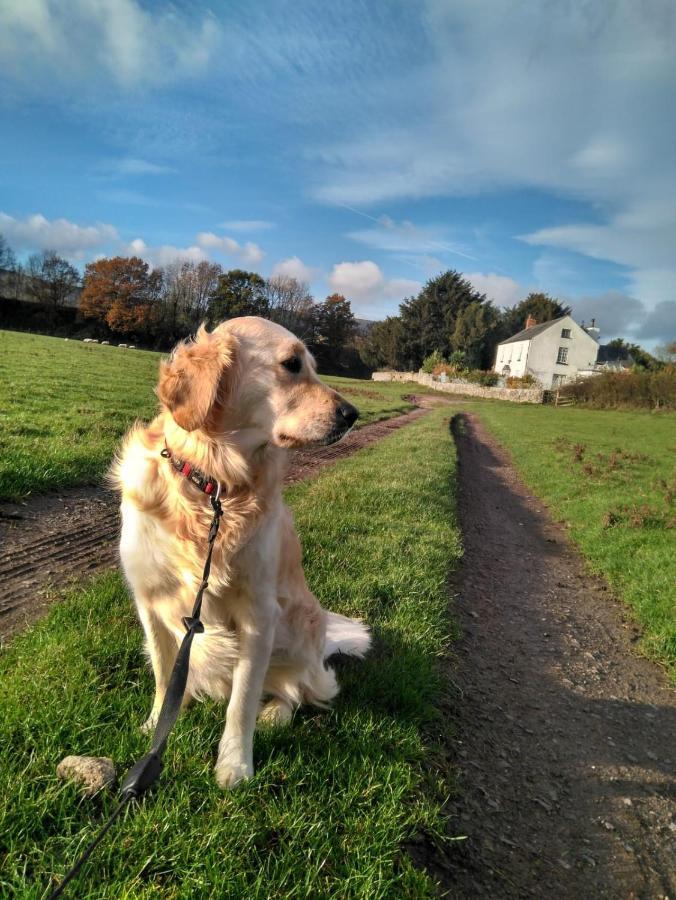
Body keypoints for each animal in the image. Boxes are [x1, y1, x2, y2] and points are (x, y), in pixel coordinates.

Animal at [113, 316, 372, 788]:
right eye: (291, 364)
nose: (352, 415)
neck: (212, 484)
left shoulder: (259, 613)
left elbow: (243, 698)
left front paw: (234, 765)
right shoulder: (149, 600)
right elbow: (163, 672)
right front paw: (155, 725)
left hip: (299, 628)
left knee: (298, 689)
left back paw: (275, 714)